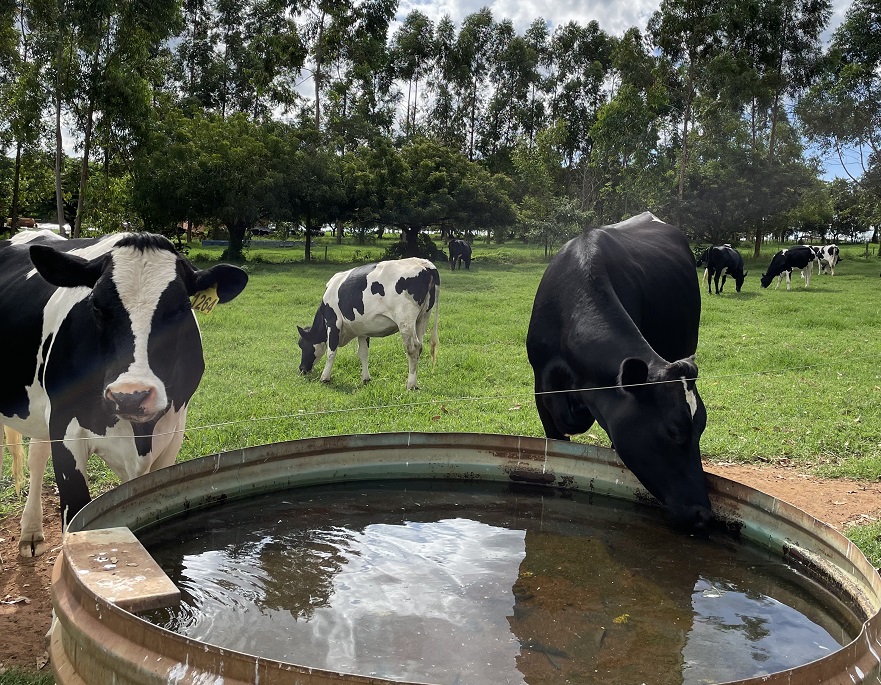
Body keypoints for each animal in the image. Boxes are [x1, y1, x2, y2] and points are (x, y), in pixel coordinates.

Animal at [298, 258, 440, 390]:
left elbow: (331, 352)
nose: (301, 369)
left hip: (405, 320)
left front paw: (325, 377)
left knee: (413, 348)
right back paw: (415, 383)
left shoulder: (333, 323)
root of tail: (425, 264)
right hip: (423, 317)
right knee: (420, 346)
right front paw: (366, 379)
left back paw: (410, 384)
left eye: (301, 344)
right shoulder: (362, 330)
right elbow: (363, 353)